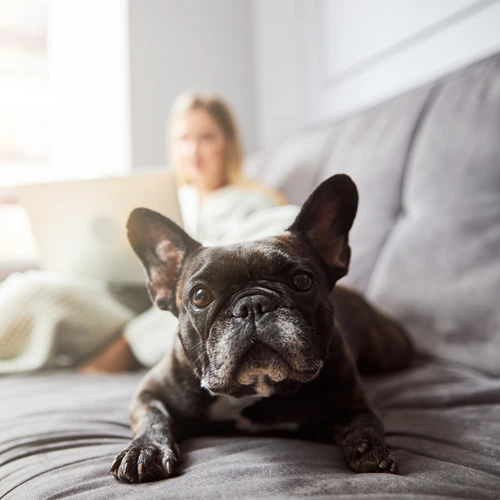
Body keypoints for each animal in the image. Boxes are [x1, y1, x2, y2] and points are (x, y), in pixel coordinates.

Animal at [110, 174, 414, 482]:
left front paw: (372, 450)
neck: (252, 391)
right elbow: (152, 417)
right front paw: (146, 450)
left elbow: (367, 422)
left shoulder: (352, 401)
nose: (253, 304)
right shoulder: (150, 392)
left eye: (302, 281)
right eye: (200, 296)